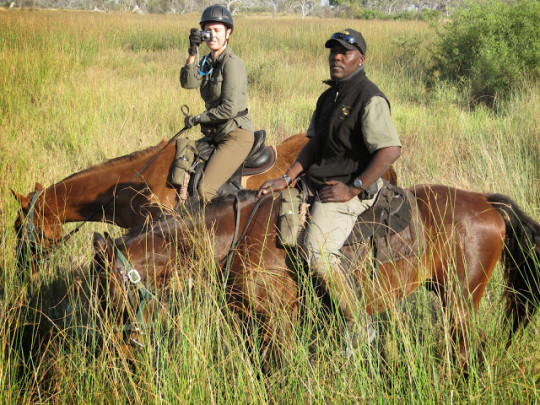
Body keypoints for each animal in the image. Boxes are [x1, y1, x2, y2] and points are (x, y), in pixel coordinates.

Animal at [90, 186, 536, 370]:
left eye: (110, 295)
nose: (120, 350)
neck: (234, 237)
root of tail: (485, 202)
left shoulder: (277, 324)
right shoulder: (249, 323)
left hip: (459, 303)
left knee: (468, 351)